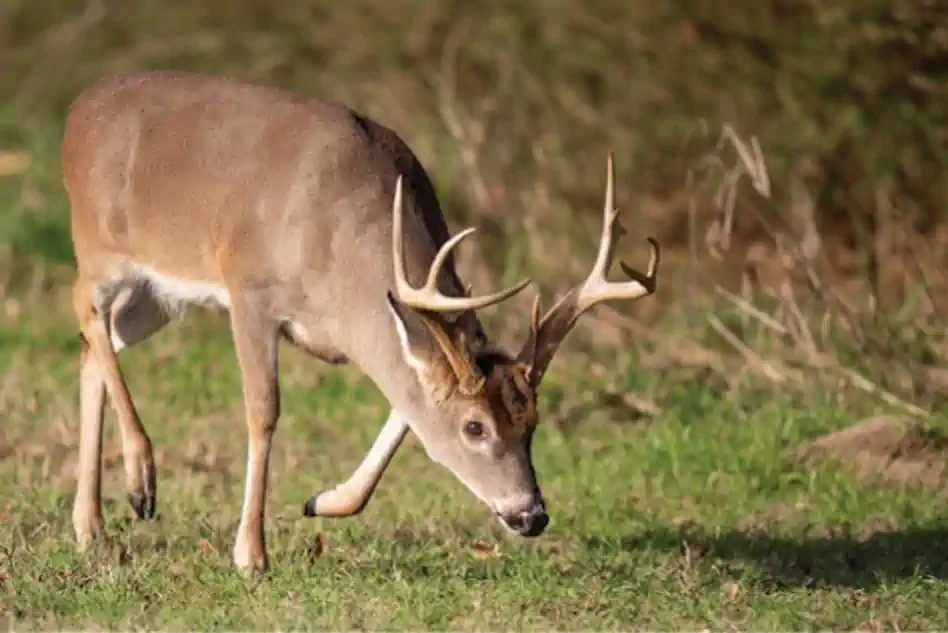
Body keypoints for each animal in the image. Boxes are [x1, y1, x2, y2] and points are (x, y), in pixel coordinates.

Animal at [61, 71, 659, 575]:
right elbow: (264, 410)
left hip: (158, 298)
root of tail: (77, 107)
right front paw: (251, 556)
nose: (531, 515)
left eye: (531, 420)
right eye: (475, 427)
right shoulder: (250, 291)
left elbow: (405, 410)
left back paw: (90, 527)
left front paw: (322, 501)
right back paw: (140, 481)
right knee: (82, 306)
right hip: (99, 246)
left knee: (95, 344)